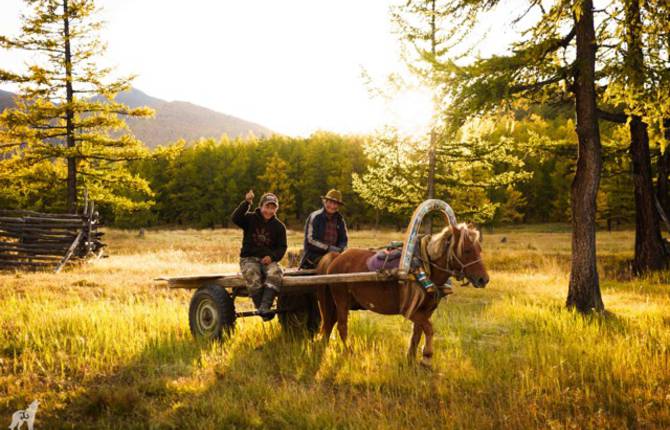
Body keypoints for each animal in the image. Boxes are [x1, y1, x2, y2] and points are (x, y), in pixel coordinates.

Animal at [316, 222, 488, 367]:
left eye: (480, 249)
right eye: (466, 250)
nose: (484, 279)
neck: (424, 267)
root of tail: (337, 257)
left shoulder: (426, 310)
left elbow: (418, 333)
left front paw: (411, 359)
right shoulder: (409, 311)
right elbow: (429, 328)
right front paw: (426, 357)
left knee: (330, 323)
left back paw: (325, 346)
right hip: (341, 300)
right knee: (342, 326)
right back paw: (350, 352)